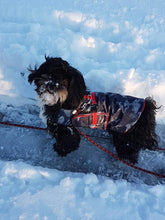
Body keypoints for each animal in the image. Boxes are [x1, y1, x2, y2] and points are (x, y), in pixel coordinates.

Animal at [28, 56, 159, 163]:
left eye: (64, 81)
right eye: (50, 75)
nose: (52, 85)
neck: (62, 101)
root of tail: (147, 107)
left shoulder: (67, 127)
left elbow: (69, 141)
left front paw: (60, 149)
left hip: (127, 133)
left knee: (128, 148)